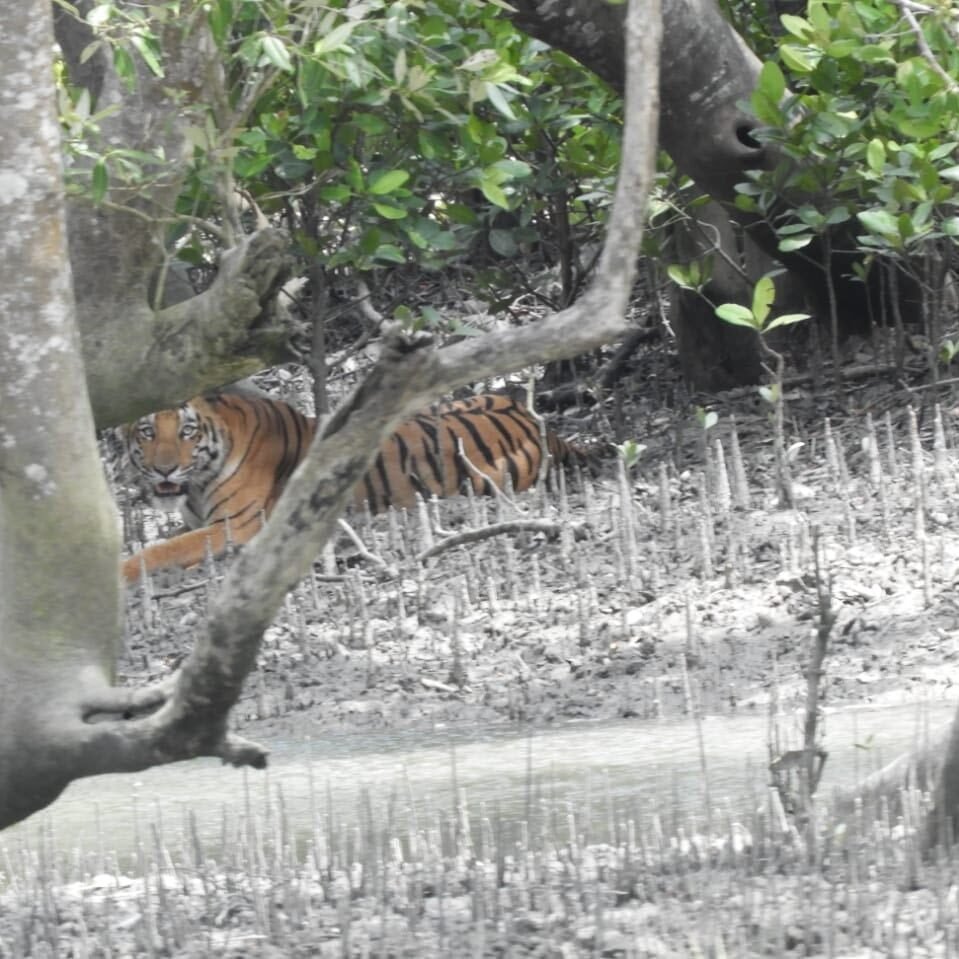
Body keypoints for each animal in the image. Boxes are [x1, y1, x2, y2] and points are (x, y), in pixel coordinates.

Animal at [124, 390, 588, 584]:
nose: (164, 470)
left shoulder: (236, 527)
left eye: (186, 432)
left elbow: (160, 551)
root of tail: (536, 422)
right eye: (147, 432)